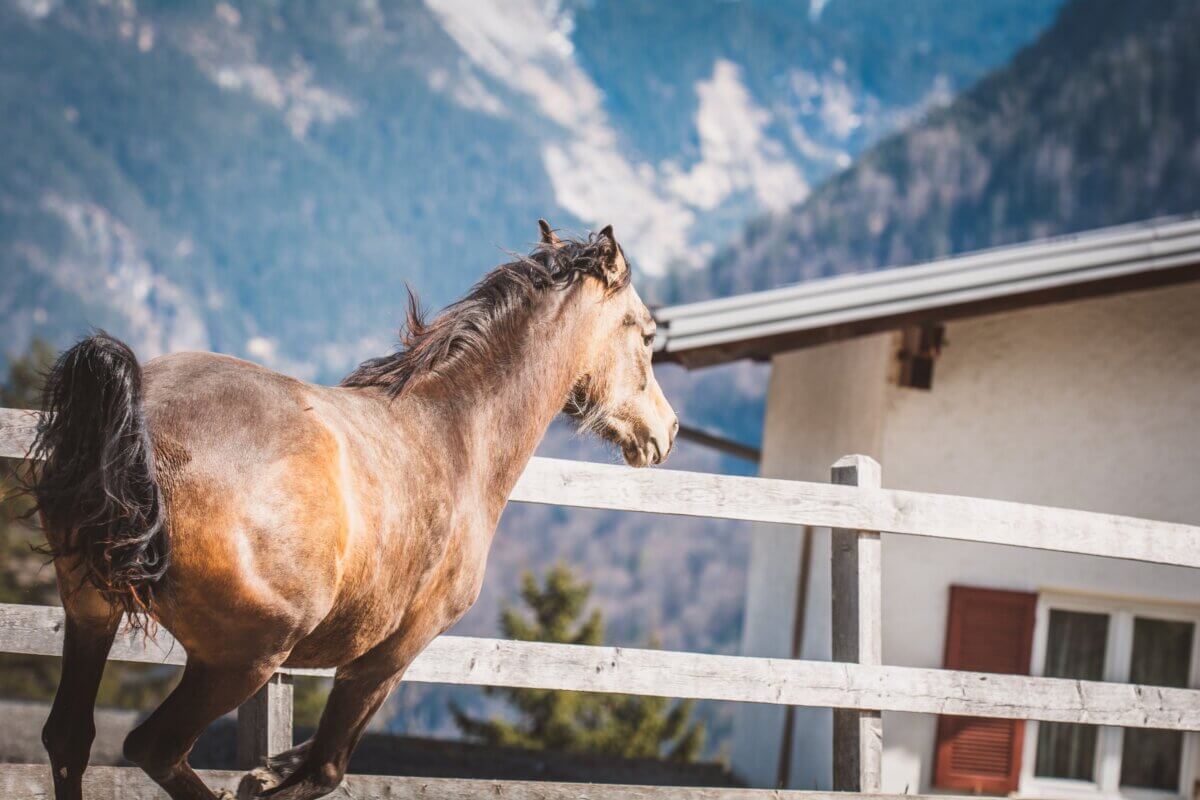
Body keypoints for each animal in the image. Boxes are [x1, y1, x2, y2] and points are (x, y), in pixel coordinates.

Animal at [30, 220, 678, 800]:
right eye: (648, 336)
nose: (666, 432)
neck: (457, 432)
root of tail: (140, 415)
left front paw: (267, 768)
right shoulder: (388, 655)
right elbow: (323, 770)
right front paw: (264, 776)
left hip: (92, 612)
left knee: (69, 739)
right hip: (244, 658)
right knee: (153, 748)